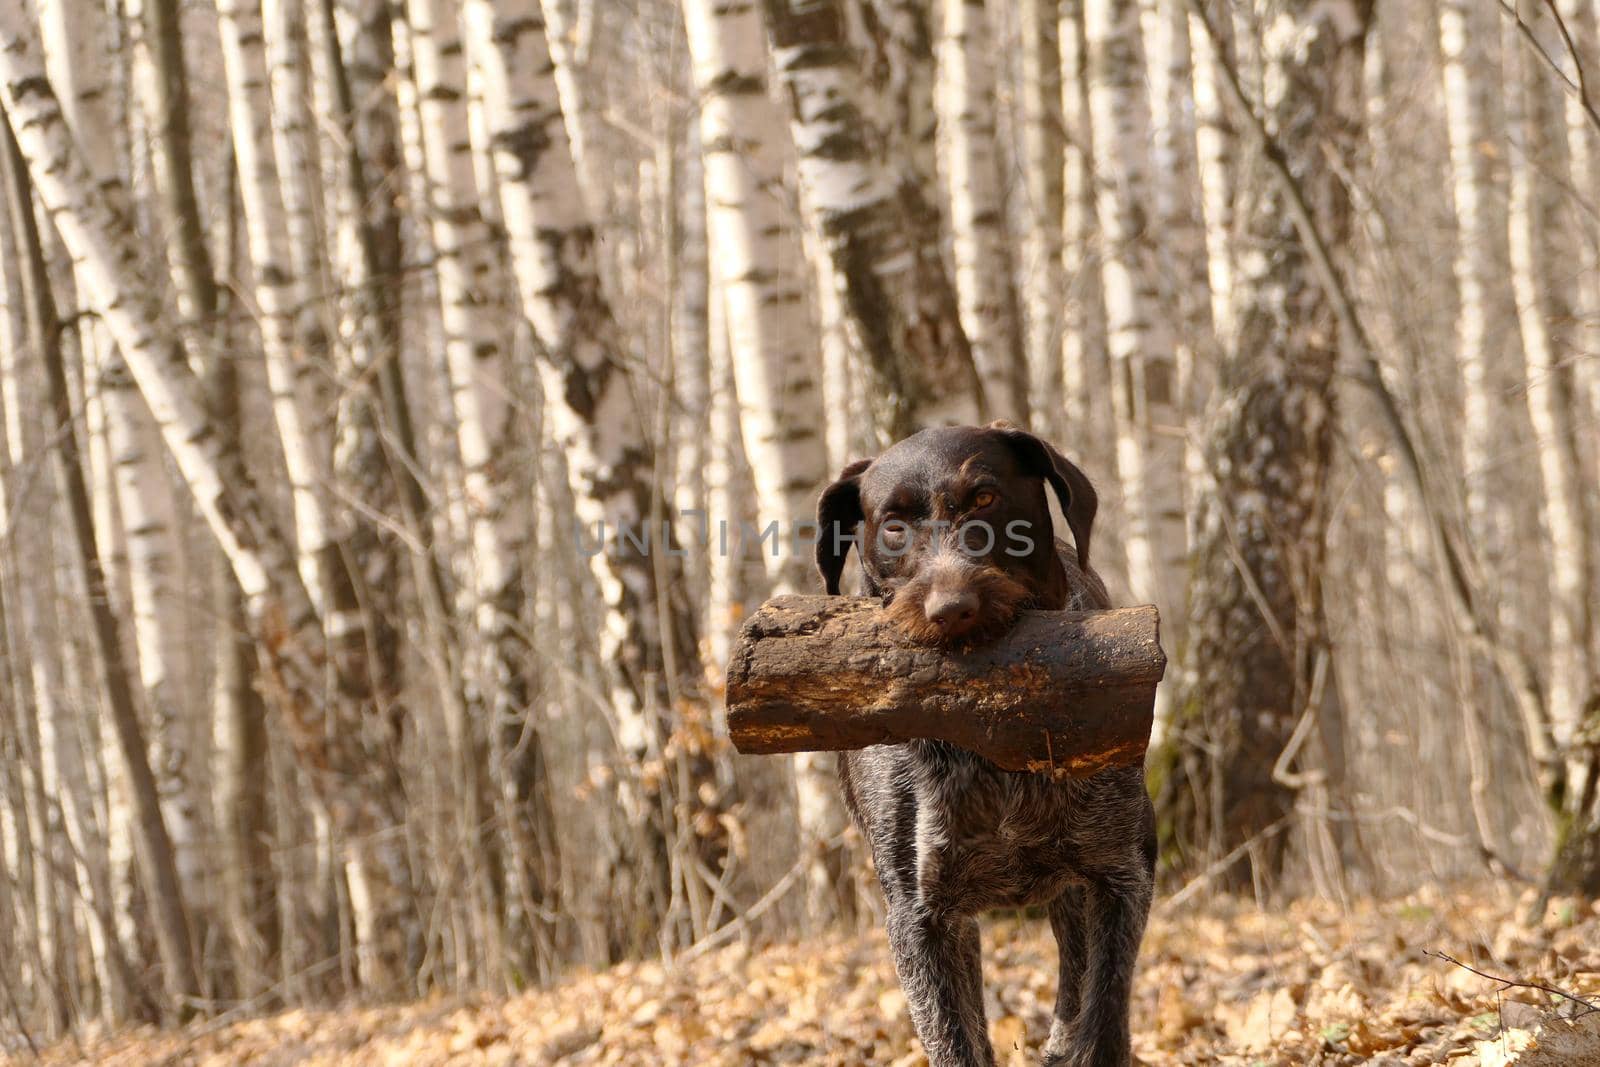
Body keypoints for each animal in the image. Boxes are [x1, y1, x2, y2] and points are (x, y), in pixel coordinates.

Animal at [819, 422, 1158, 1067]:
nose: (952, 609)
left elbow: (1102, 1017)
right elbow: (956, 1041)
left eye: (983, 498)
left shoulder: (1120, 874)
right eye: (893, 524)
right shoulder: (918, 918)